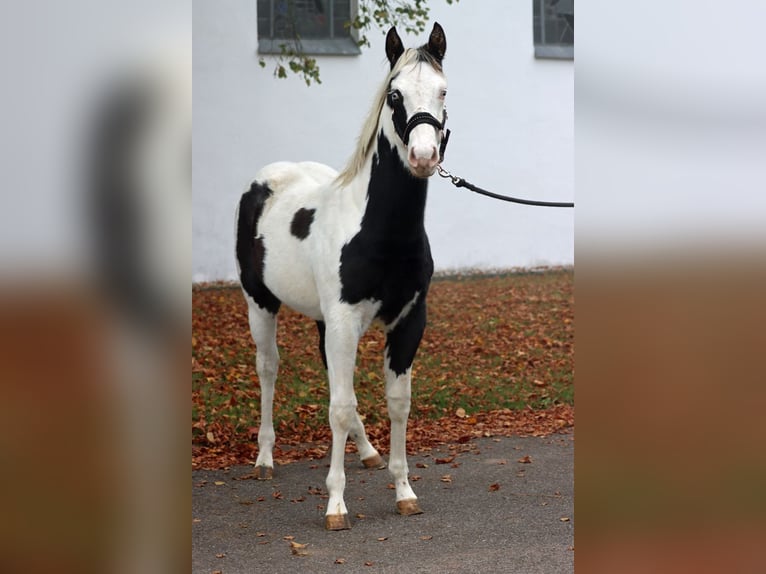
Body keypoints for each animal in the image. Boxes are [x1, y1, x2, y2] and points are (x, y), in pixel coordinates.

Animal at [236, 23, 450, 536]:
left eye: (443, 91)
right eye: (394, 94)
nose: (423, 156)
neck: (380, 230)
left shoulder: (408, 322)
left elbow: (395, 401)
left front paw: (403, 490)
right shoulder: (344, 322)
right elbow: (337, 407)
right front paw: (335, 505)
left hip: (322, 322)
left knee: (334, 381)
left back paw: (368, 452)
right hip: (260, 304)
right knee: (269, 369)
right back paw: (265, 458)